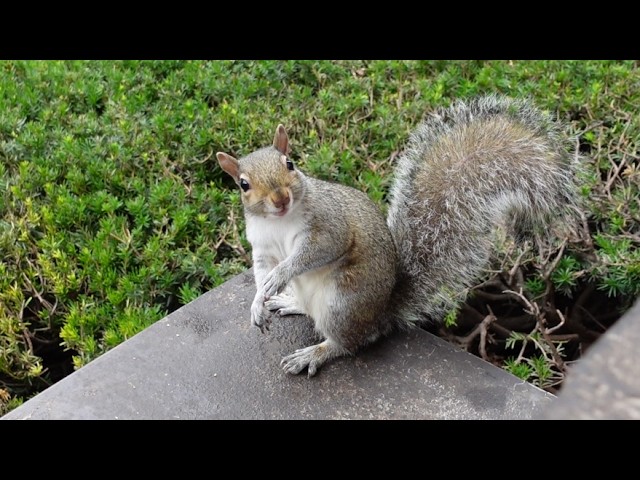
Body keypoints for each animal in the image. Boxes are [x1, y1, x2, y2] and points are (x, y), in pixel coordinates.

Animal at [216, 94, 578, 377]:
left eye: (290, 163)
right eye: (243, 184)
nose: (280, 198)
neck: (279, 221)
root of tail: (382, 314)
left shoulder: (329, 225)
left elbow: (315, 252)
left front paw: (281, 276)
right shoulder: (261, 246)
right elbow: (261, 271)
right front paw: (259, 301)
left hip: (341, 303)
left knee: (349, 343)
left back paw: (315, 353)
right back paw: (289, 302)